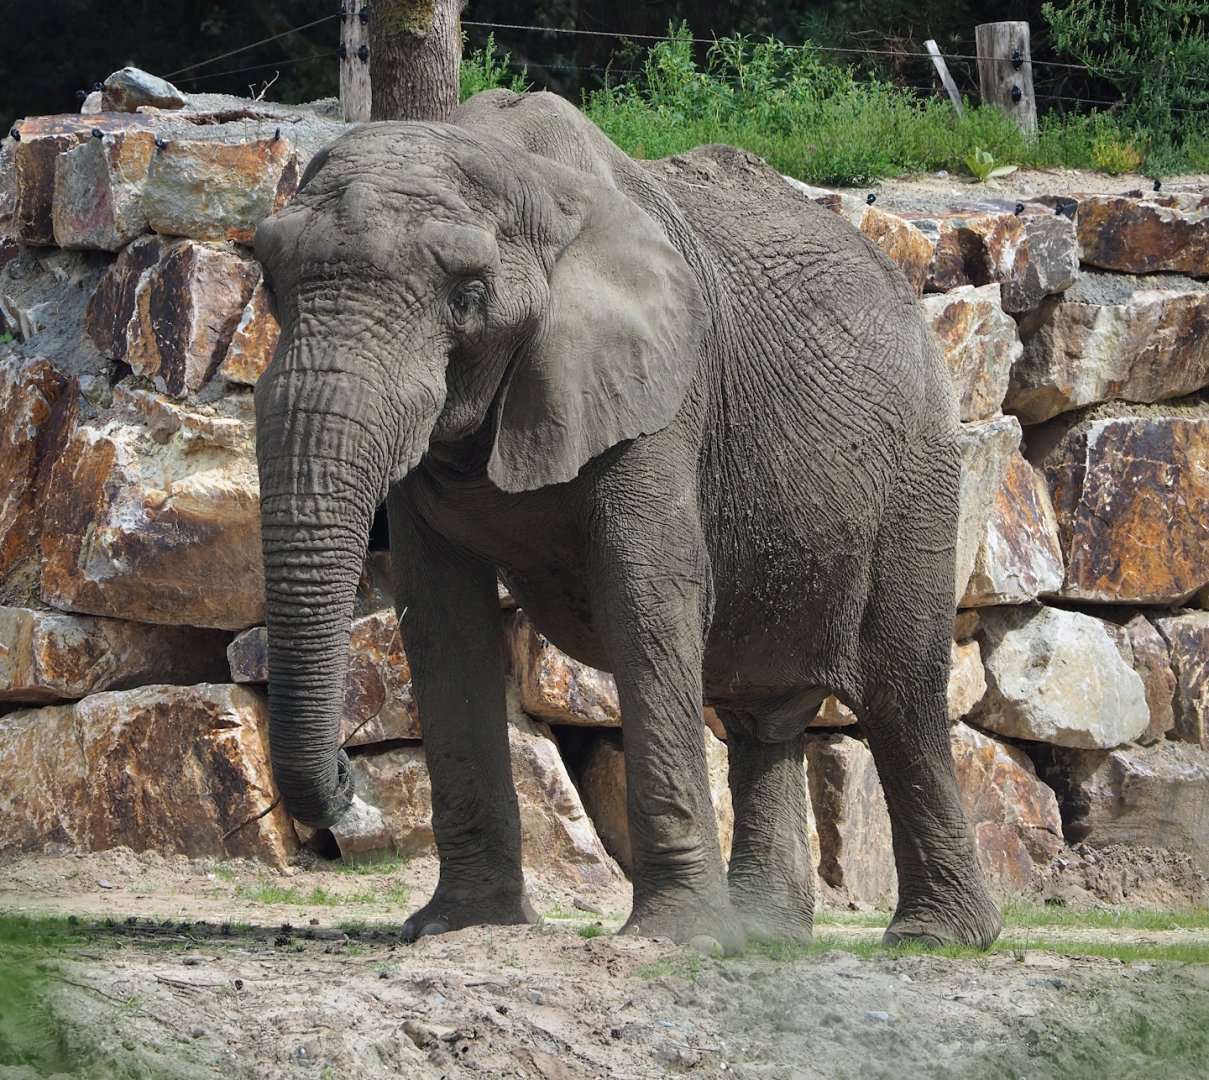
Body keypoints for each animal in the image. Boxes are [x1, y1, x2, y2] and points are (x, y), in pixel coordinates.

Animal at [252, 87, 1003, 955]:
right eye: (269, 287)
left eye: (466, 297)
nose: (347, 786)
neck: (525, 178)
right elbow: (440, 619)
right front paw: (457, 927)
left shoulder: (662, 389)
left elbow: (646, 591)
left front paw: (678, 940)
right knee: (761, 717)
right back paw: (767, 939)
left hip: (919, 469)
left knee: (899, 698)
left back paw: (935, 938)